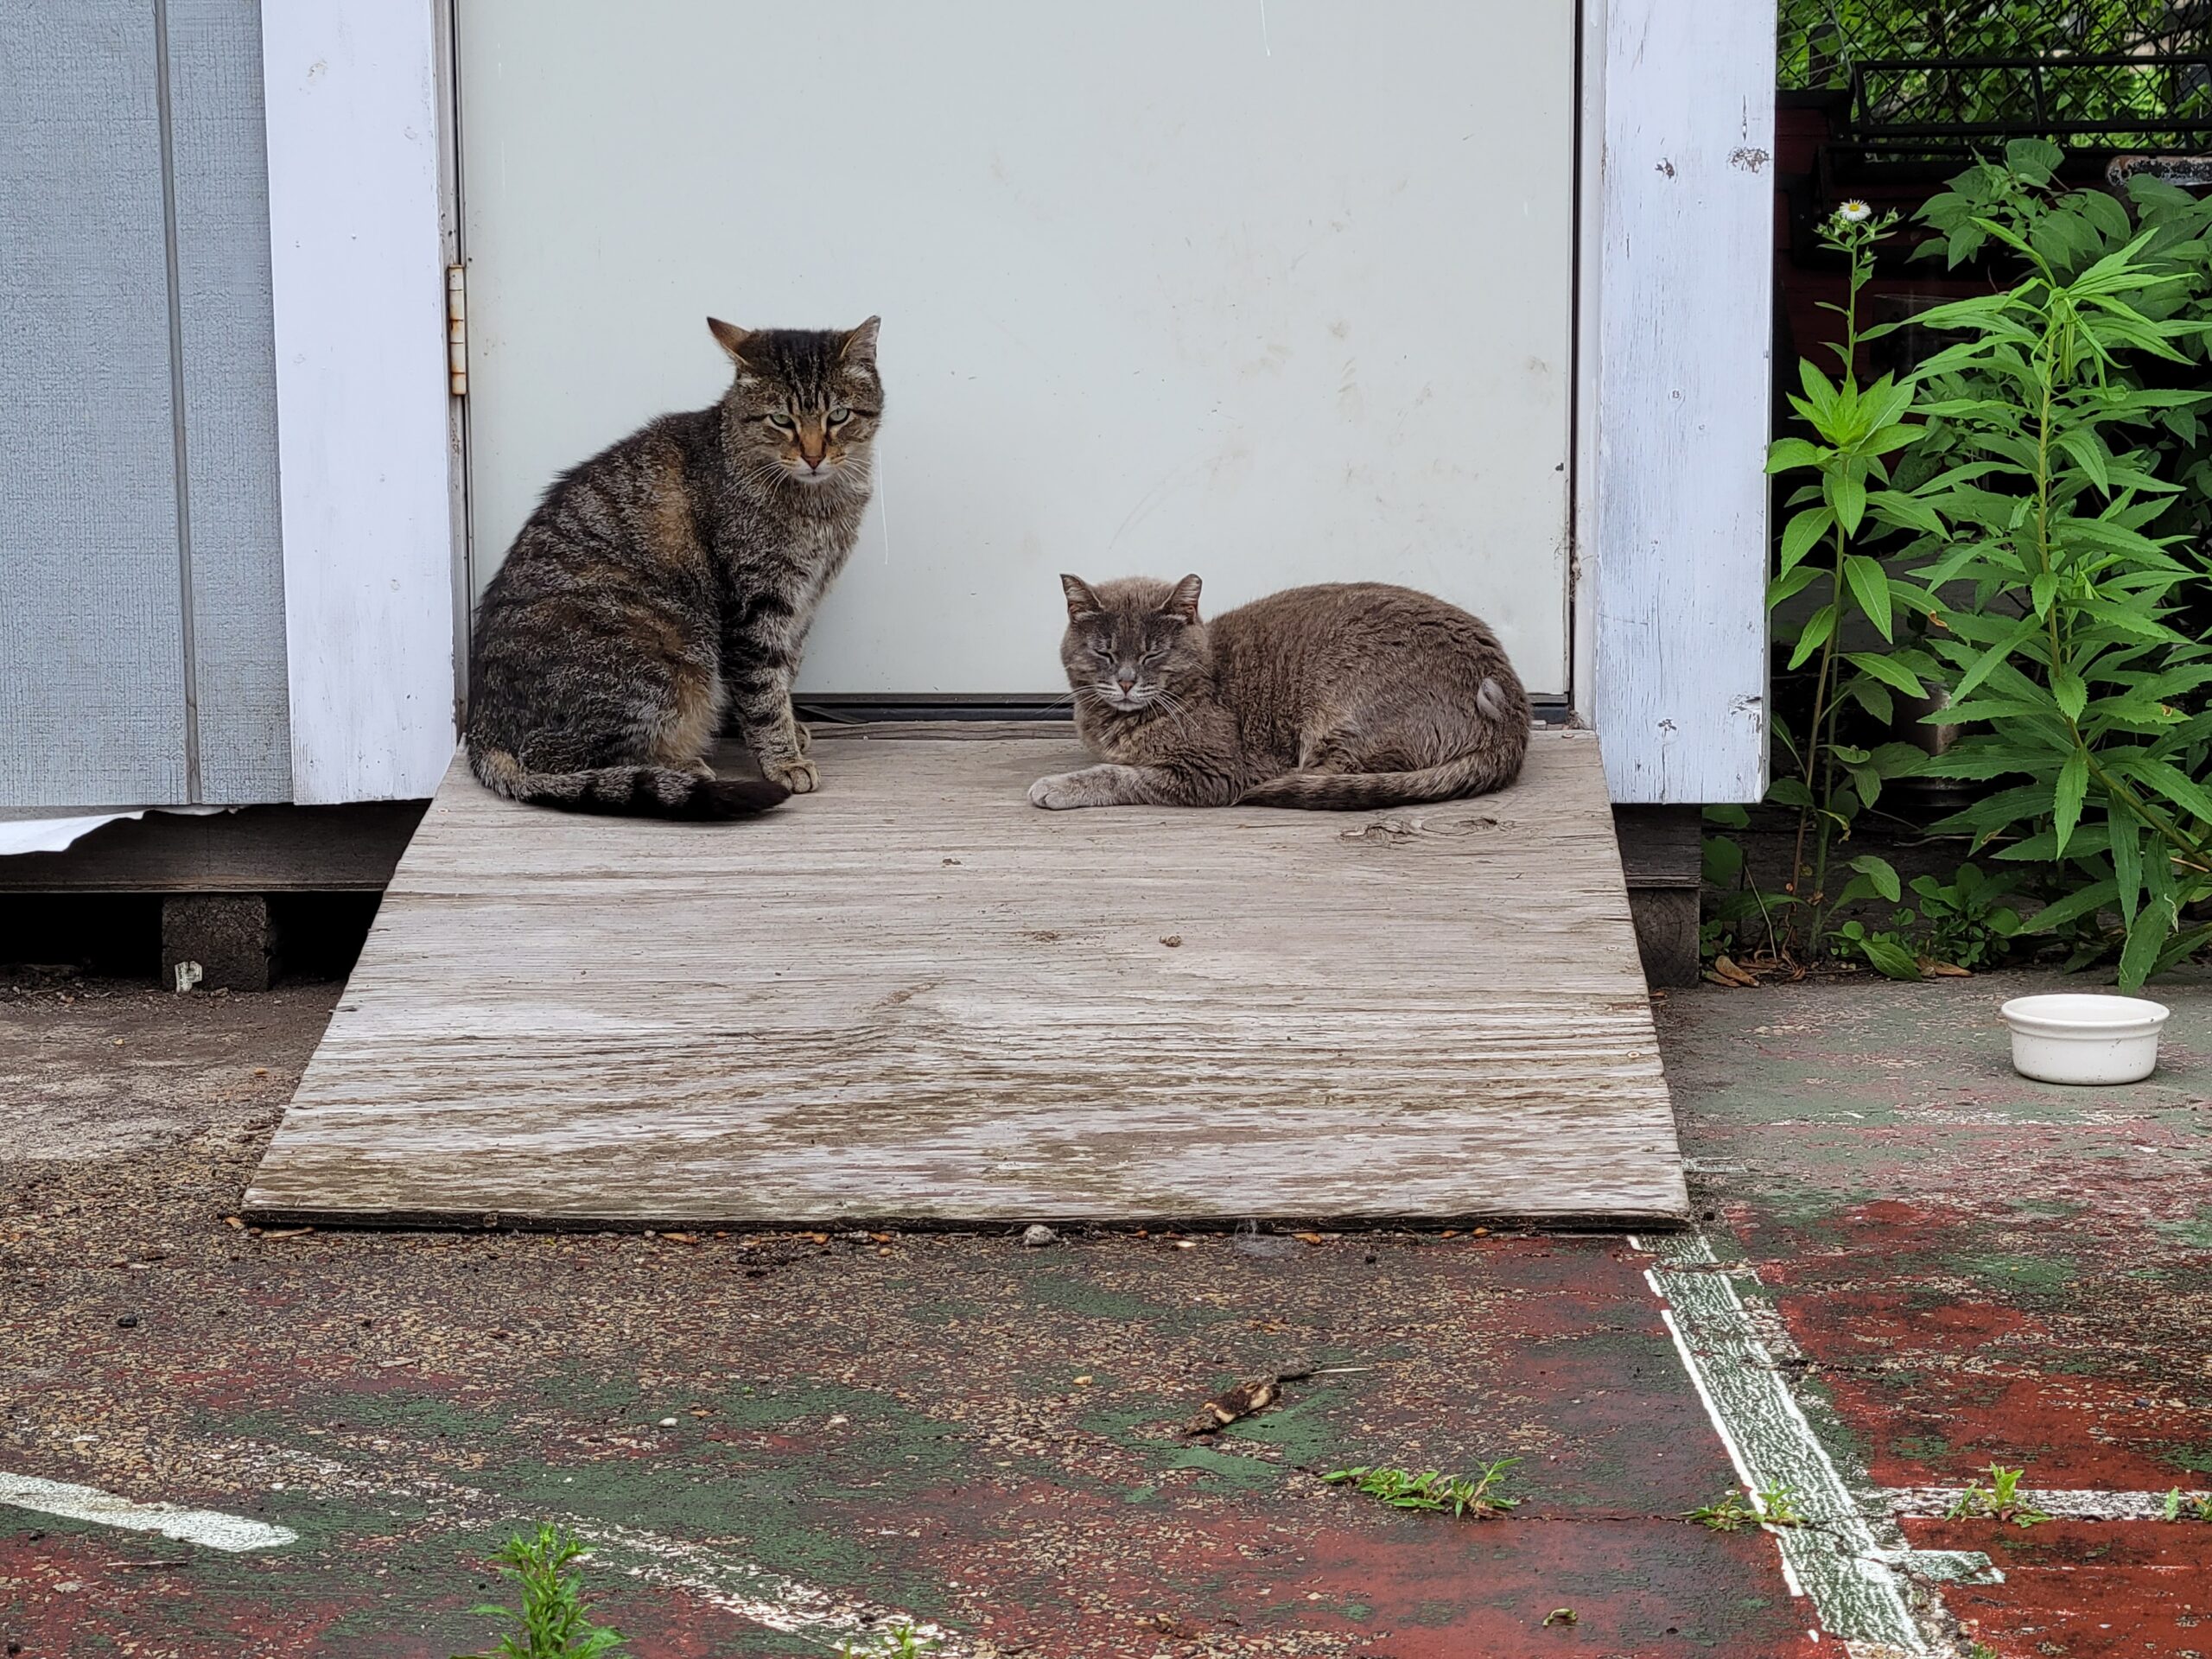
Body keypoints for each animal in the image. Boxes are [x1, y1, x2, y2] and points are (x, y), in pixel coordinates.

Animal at [467, 314, 880, 823]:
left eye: (838, 416)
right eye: (781, 420)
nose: (814, 455)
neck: (821, 505)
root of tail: (483, 728)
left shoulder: (803, 605)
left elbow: (784, 674)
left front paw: (790, 730)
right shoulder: (757, 609)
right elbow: (763, 690)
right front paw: (782, 758)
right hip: (670, 655)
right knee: (552, 758)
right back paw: (679, 766)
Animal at [1026, 575, 1530, 814]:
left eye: (1153, 652)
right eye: (1105, 652)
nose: (1127, 680)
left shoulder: (1211, 770)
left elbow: (1119, 774)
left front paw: (1057, 786)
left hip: (1339, 715)